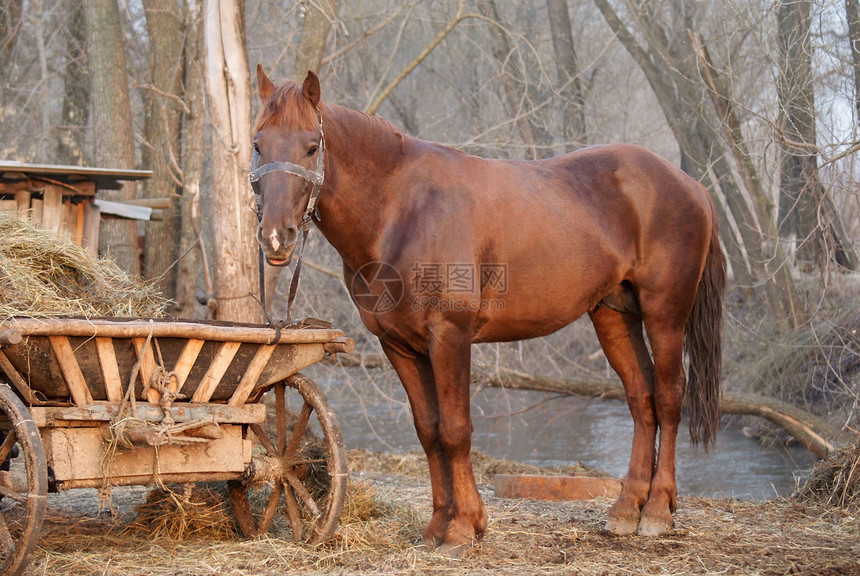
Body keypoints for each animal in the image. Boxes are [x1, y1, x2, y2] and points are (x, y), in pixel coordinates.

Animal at [250, 68, 724, 560]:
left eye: (311, 146)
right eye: (258, 144)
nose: (276, 237)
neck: (402, 210)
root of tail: (690, 185)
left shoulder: (450, 337)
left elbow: (456, 430)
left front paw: (462, 531)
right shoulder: (399, 345)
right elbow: (429, 431)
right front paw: (439, 527)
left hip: (665, 314)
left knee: (668, 397)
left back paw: (657, 512)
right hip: (613, 315)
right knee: (639, 398)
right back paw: (627, 509)